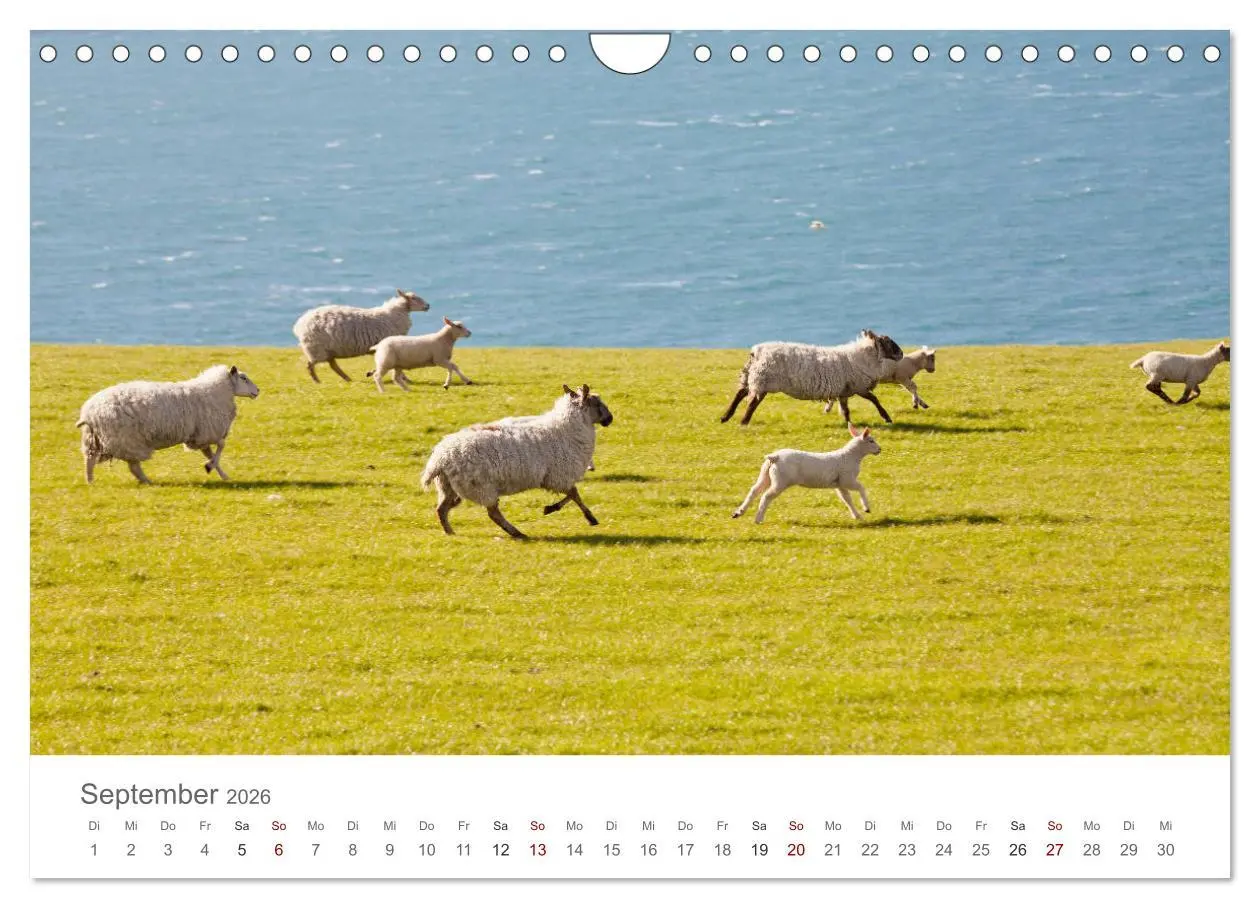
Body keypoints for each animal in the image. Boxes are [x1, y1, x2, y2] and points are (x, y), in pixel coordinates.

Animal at [76, 365, 260, 485]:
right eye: (243, 378)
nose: (257, 391)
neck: (213, 391)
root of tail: (89, 413)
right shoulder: (207, 432)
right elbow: (221, 445)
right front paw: (210, 467)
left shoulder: (199, 437)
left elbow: (210, 453)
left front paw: (222, 474)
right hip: (127, 439)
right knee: (133, 466)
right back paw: (147, 481)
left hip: (95, 440)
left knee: (90, 460)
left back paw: (90, 482)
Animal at [293, 289, 430, 382]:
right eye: (414, 298)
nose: (428, 306)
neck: (394, 314)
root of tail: (300, 324)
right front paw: (404, 378)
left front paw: (372, 373)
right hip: (317, 348)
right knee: (310, 365)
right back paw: (317, 380)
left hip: (327, 350)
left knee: (332, 365)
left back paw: (347, 378)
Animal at [420, 384, 613, 539]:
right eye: (597, 403)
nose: (610, 419)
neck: (567, 428)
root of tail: (440, 458)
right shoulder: (558, 476)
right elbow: (574, 494)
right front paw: (589, 518)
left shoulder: (553, 478)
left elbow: (572, 495)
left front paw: (552, 509)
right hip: (481, 486)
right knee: (493, 513)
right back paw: (517, 533)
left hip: (449, 487)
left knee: (442, 509)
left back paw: (450, 532)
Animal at [720, 329, 904, 426]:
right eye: (889, 342)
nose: (902, 354)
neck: (863, 356)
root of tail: (756, 351)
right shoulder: (859, 386)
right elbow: (875, 399)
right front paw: (887, 418)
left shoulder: (844, 390)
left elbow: (846, 409)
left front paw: (848, 424)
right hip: (762, 380)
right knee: (752, 402)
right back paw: (743, 421)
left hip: (753, 376)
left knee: (740, 393)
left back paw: (725, 417)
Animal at [732, 424, 881, 524]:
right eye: (871, 441)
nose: (880, 449)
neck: (850, 456)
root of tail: (774, 457)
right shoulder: (847, 479)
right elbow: (861, 488)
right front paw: (866, 508)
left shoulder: (839, 483)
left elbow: (847, 499)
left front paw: (857, 516)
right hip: (781, 481)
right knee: (766, 496)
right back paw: (758, 518)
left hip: (766, 475)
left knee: (754, 490)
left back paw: (739, 512)